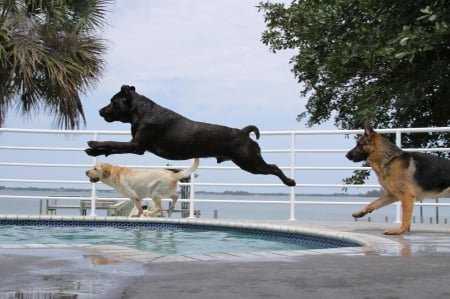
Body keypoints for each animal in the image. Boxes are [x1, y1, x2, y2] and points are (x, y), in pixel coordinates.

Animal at [85, 85, 296, 188]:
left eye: (113, 102)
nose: (99, 111)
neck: (141, 111)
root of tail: (243, 131)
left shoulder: (137, 145)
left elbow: (112, 142)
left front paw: (94, 143)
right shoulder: (137, 147)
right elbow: (113, 147)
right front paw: (94, 151)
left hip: (250, 162)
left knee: (274, 167)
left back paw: (290, 182)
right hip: (249, 162)